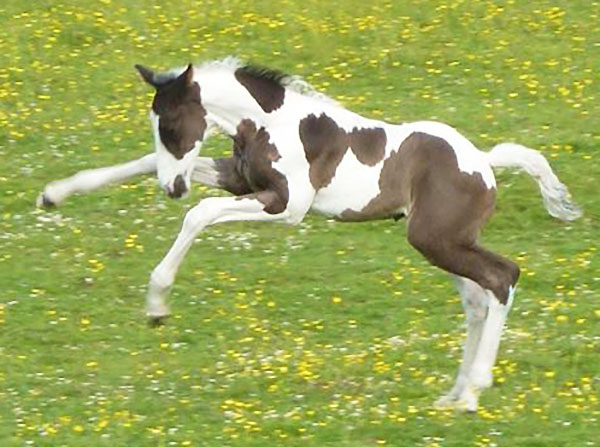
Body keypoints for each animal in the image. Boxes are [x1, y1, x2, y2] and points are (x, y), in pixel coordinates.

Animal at [38, 58, 580, 412]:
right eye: (156, 126)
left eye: (172, 124)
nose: (173, 189)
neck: (271, 124)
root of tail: (484, 163)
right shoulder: (242, 181)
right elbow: (144, 167)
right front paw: (54, 194)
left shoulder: (287, 206)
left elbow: (201, 214)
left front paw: (157, 303)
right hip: (444, 243)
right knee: (476, 300)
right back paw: (453, 393)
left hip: (438, 241)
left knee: (503, 277)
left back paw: (472, 392)